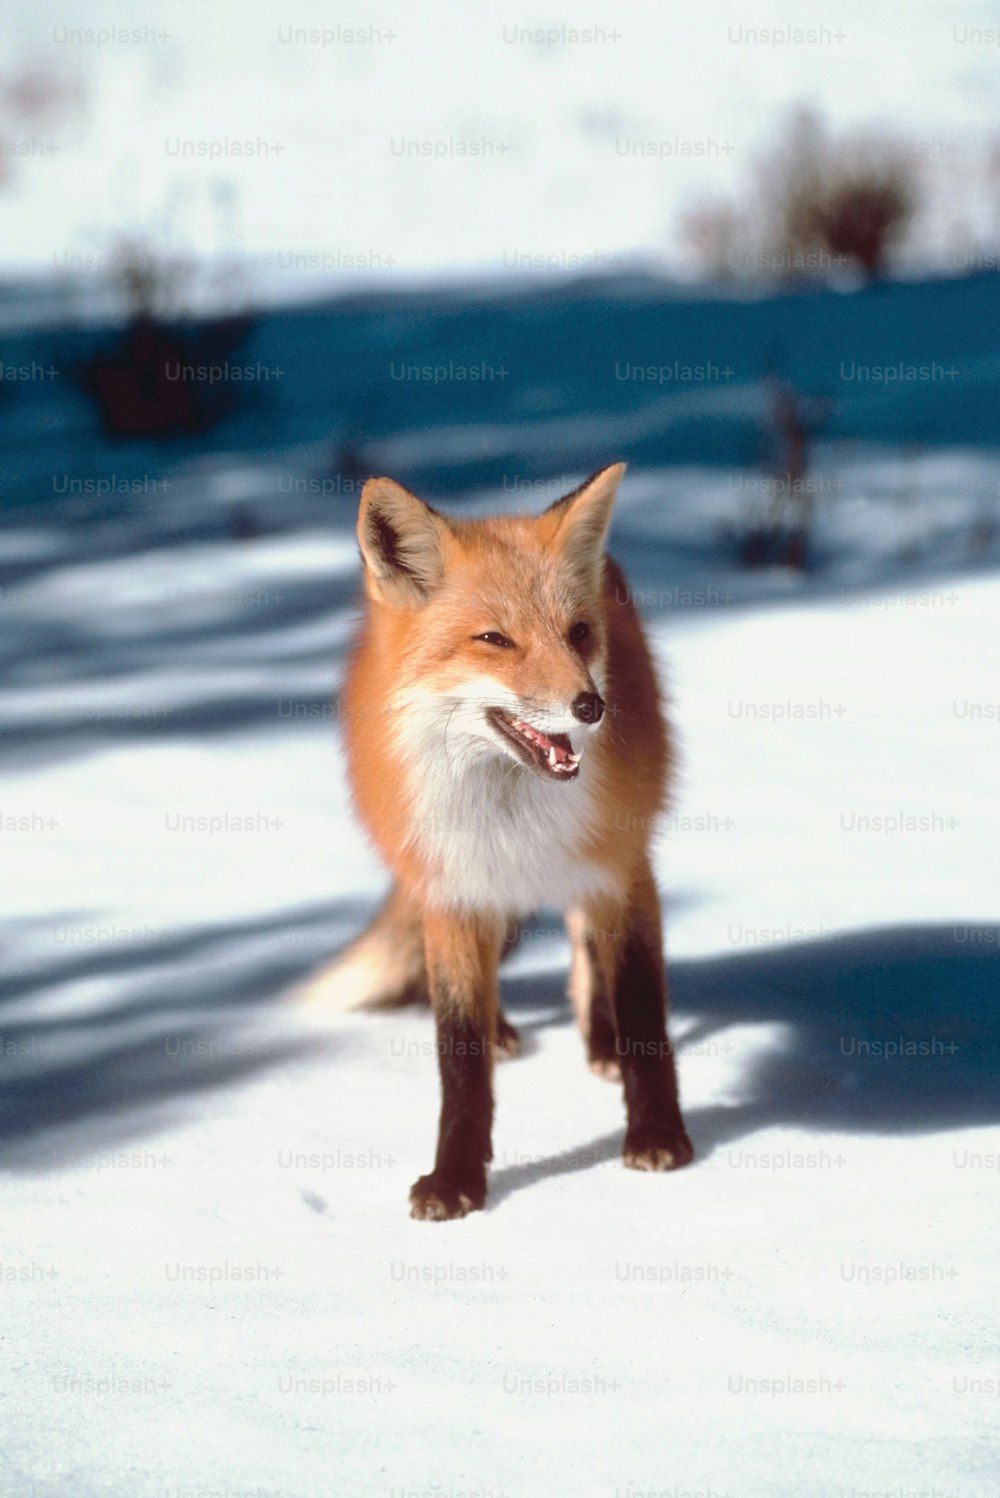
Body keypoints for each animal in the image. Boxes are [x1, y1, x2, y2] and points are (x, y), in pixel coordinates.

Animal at [306, 458, 694, 1216]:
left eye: (579, 633)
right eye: (495, 640)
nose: (591, 706)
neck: (512, 815)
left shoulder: (621, 870)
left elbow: (641, 1011)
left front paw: (658, 1136)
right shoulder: (454, 892)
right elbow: (458, 1051)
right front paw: (456, 1179)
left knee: (583, 943)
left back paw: (597, 1041)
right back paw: (508, 1030)